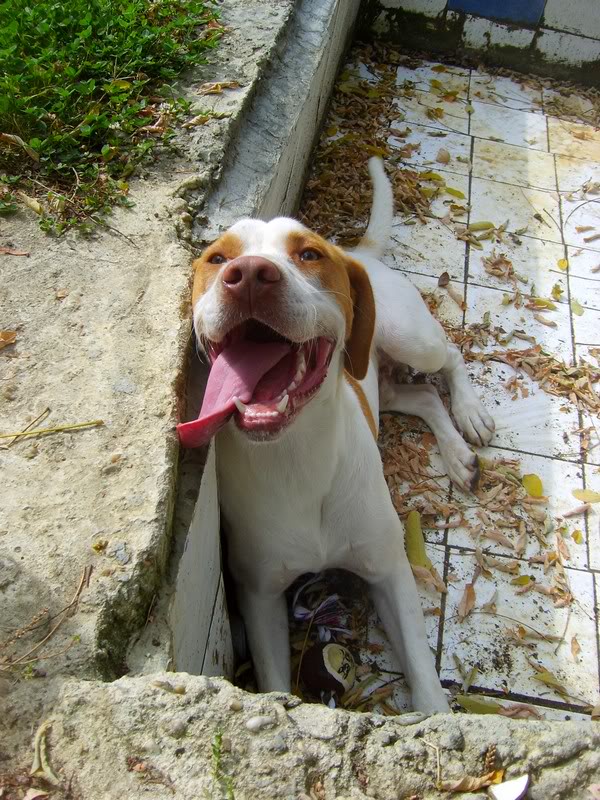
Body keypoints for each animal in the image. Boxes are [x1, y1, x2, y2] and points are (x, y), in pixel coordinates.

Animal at [177, 158, 492, 712]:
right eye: (217, 258)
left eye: (309, 254)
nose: (249, 276)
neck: (297, 456)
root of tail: (359, 253)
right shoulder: (260, 596)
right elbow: (277, 682)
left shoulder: (389, 568)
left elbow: (425, 680)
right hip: (383, 380)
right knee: (422, 398)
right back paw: (456, 454)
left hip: (411, 338)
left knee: (450, 356)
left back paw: (470, 415)